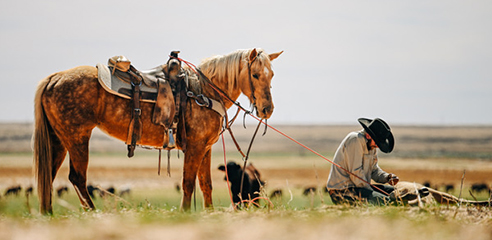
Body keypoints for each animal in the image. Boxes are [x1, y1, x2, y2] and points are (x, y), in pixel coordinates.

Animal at [34, 48, 282, 214]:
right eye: (256, 75)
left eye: (272, 75)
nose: (267, 109)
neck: (203, 91)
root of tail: (54, 78)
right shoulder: (195, 147)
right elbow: (188, 182)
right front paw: (185, 213)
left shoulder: (206, 148)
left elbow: (206, 185)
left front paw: (209, 213)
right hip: (77, 138)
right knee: (77, 177)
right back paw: (93, 212)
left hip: (59, 140)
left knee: (49, 175)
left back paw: (48, 214)